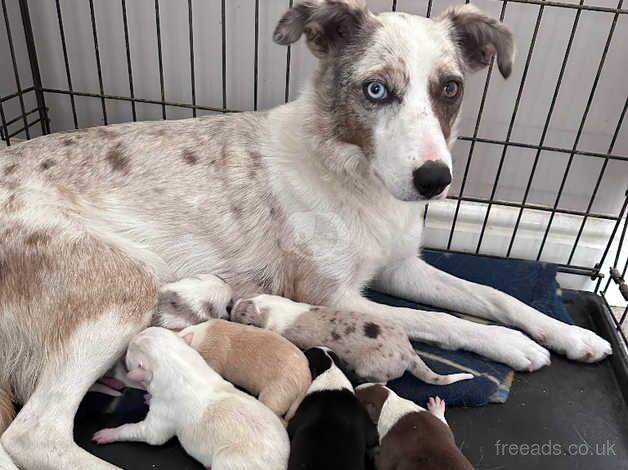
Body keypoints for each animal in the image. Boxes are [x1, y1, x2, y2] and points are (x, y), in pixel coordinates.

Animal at [92, 326, 290, 470]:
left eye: (129, 350)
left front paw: (108, 433)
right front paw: (147, 397)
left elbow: (142, 432)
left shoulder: (161, 420)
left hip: (230, 461)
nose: (128, 342)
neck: (182, 365)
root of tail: (281, 465)